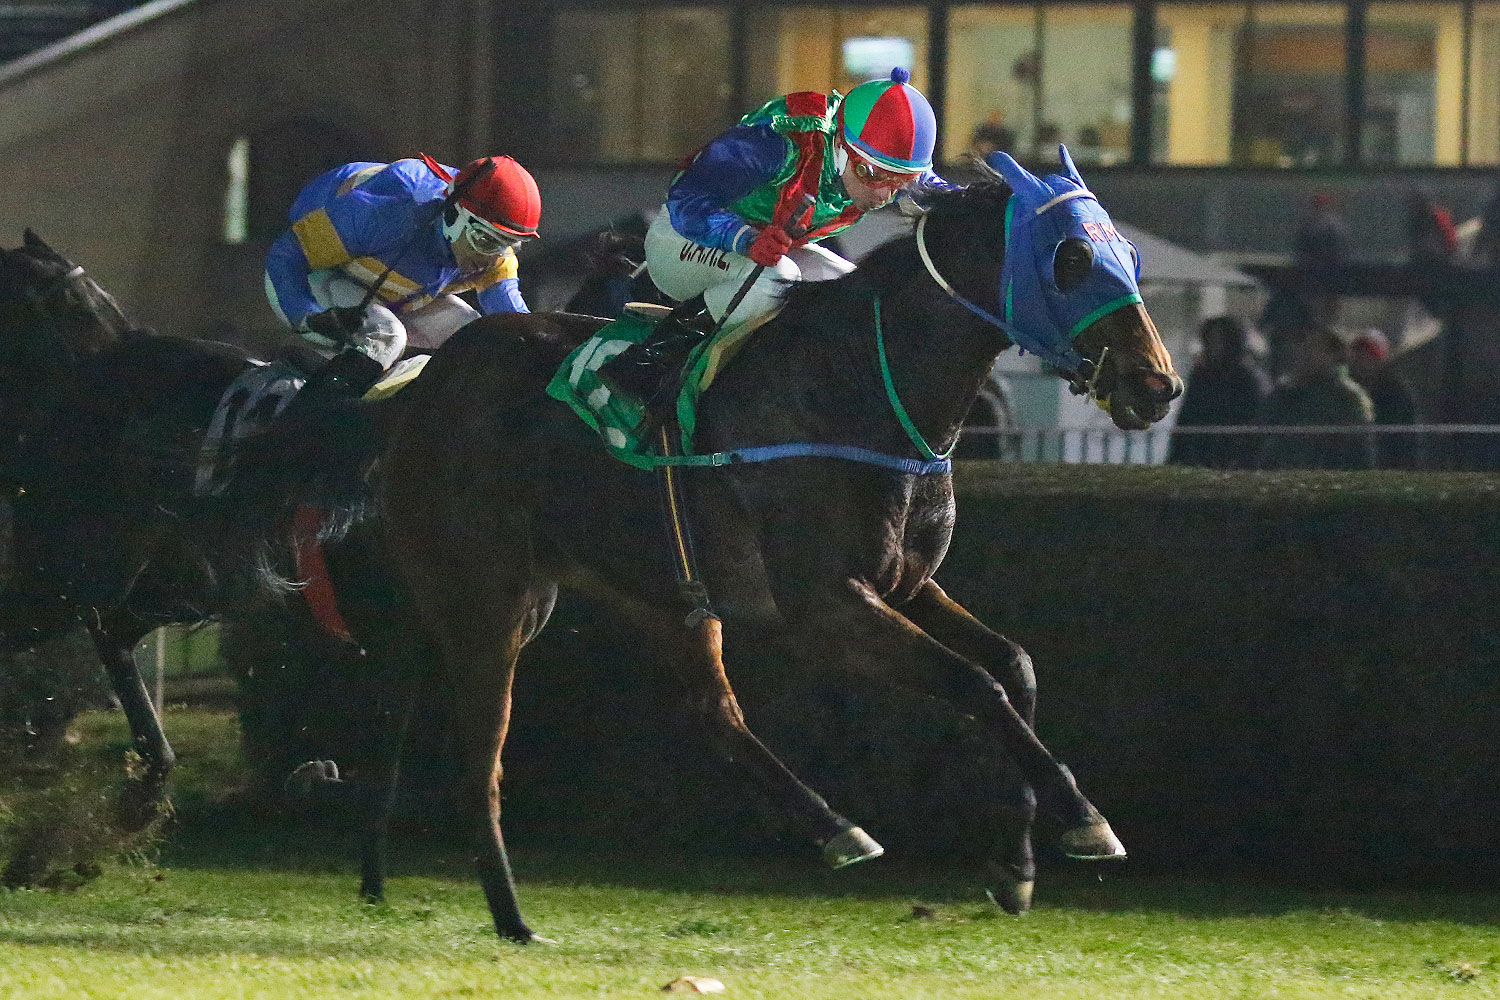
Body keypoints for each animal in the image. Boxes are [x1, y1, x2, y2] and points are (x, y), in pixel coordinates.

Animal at [368, 155, 1182, 942]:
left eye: (1130, 255)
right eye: (1070, 259)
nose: (1157, 383)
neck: (860, 387)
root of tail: (428, 381)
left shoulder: (907, 584)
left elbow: (1014, 667)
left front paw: (1016, 864)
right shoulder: (827, 604)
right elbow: (974, 684)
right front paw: (1087, 822)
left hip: (660, 594)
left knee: (713, 712)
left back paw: (837, 829)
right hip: (489, 597)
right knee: (482, 763)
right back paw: (511, 917)